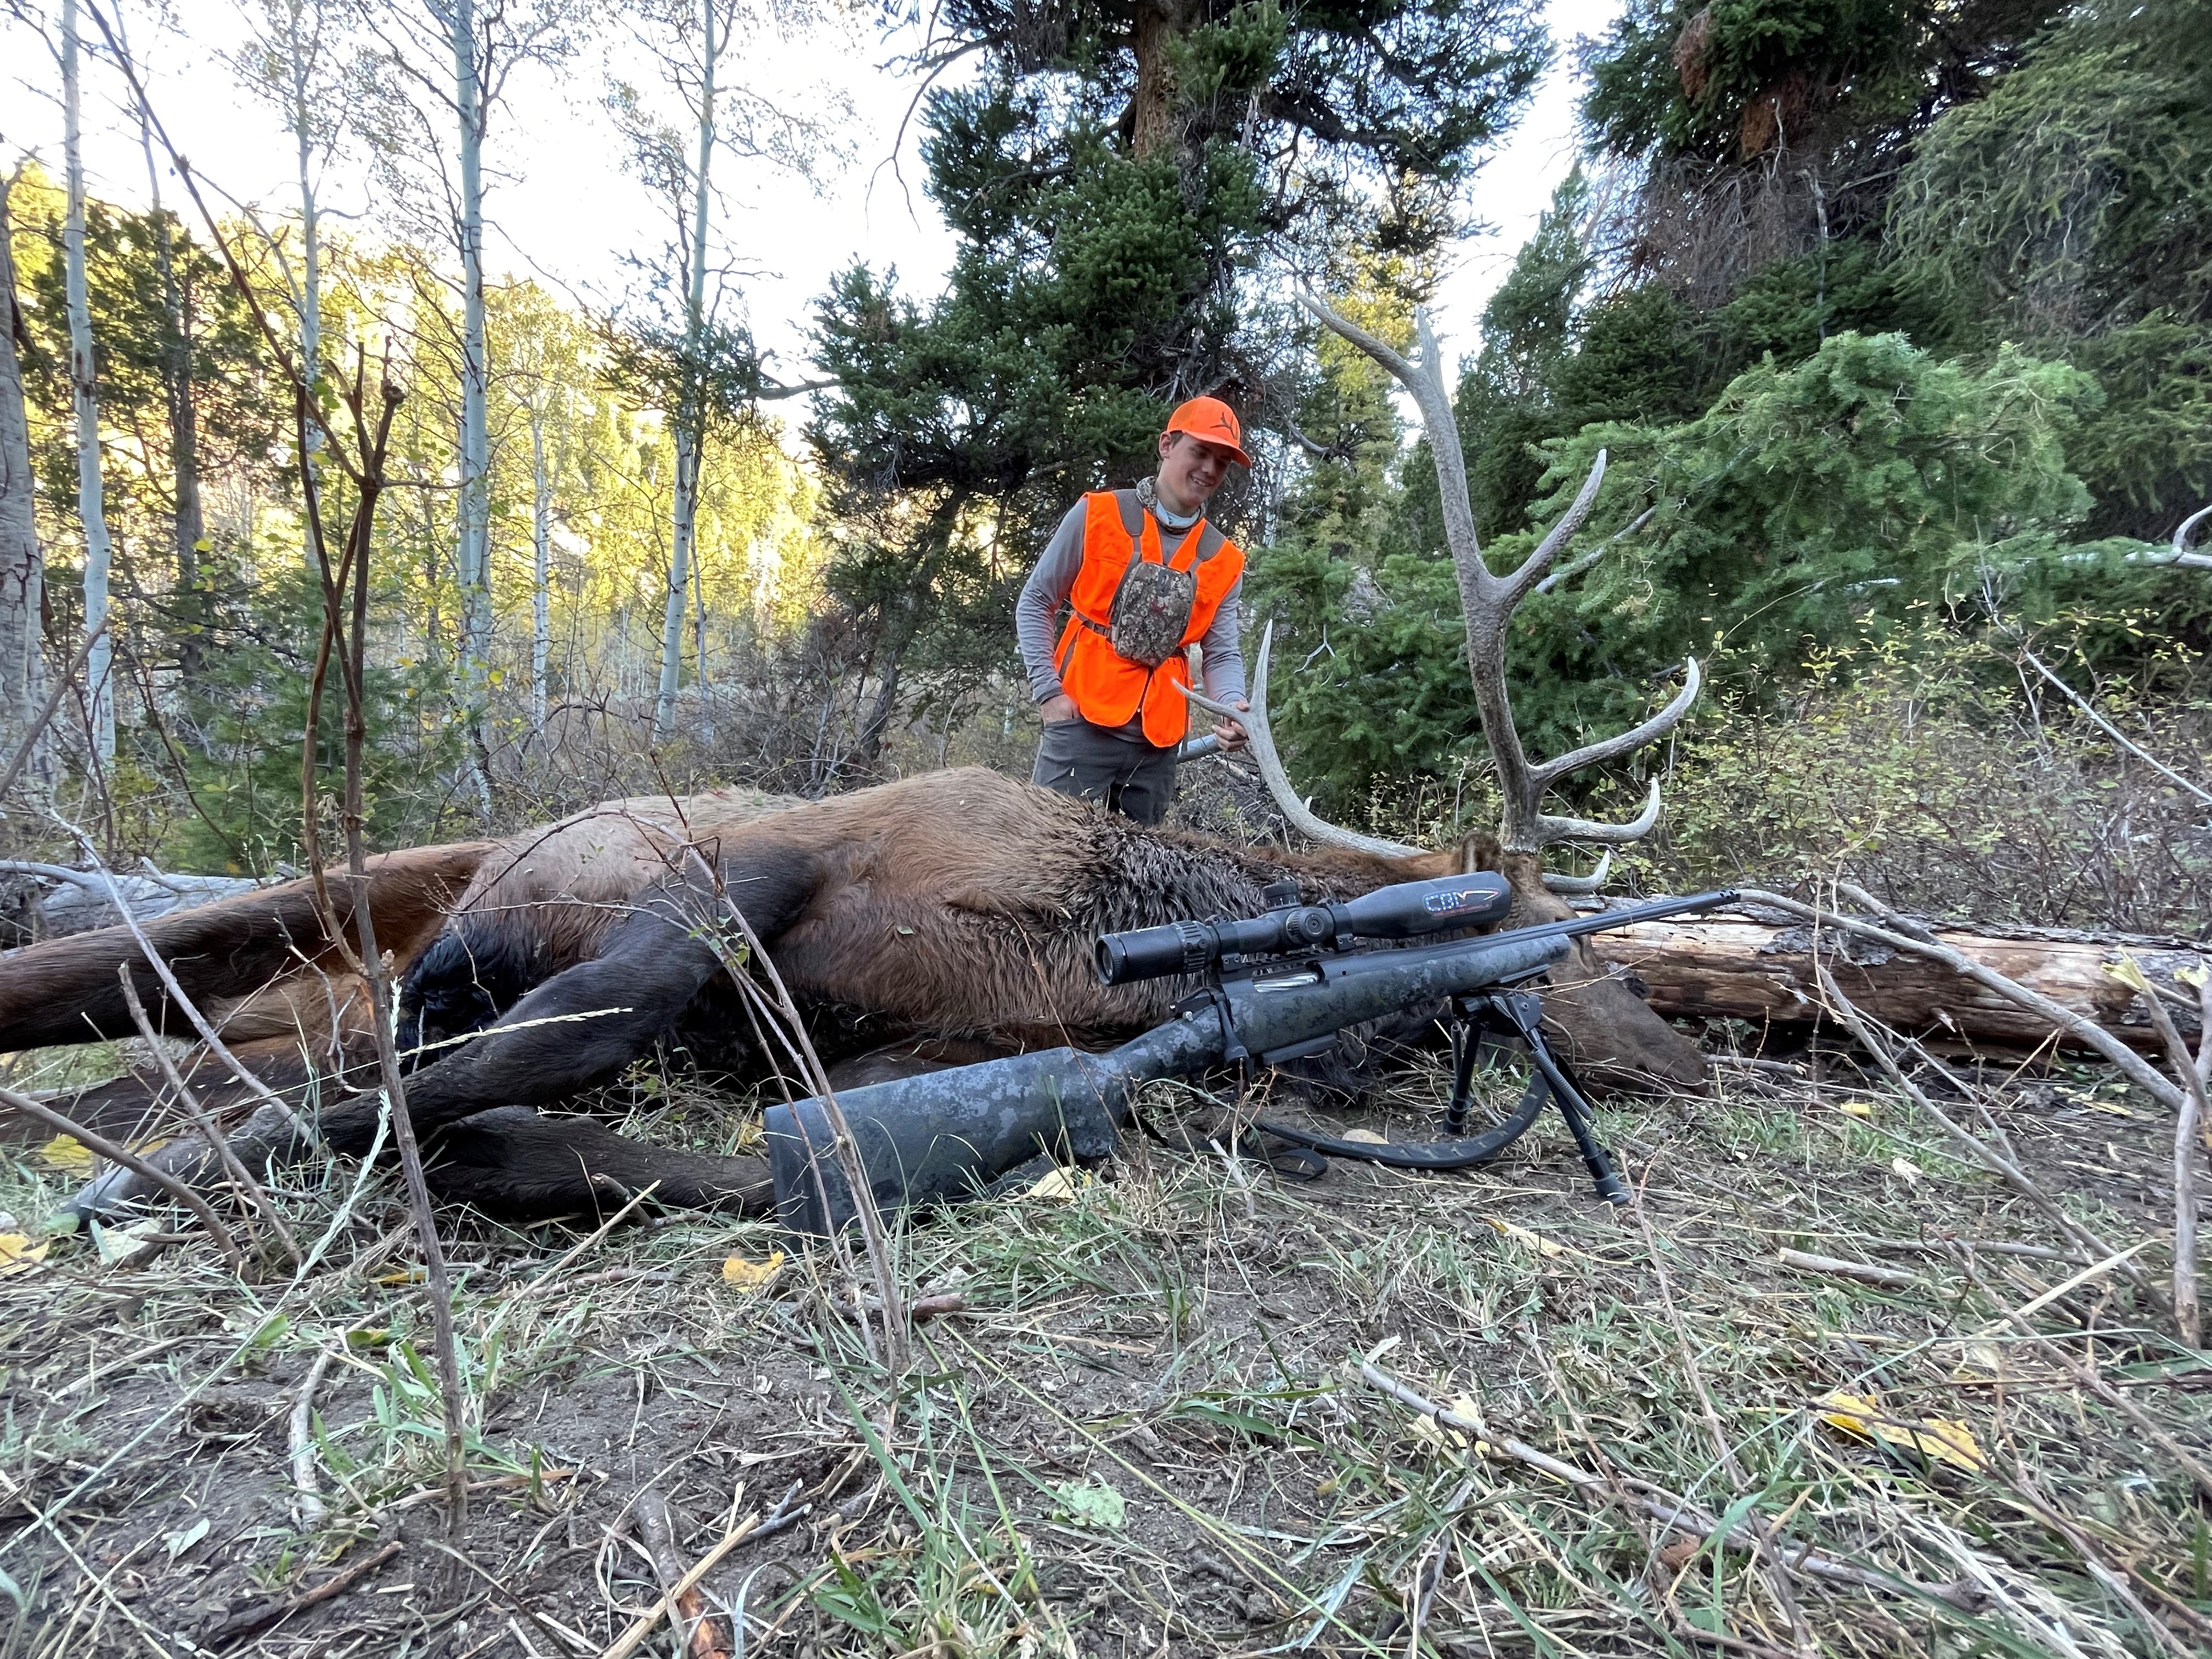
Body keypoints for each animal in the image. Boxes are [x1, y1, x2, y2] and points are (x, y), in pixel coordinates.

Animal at [0, 296, 1705, 1224]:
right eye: (1559, 958)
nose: (1692, 1053)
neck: (1093, 929)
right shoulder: (782, 855)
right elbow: (565, 1035)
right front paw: (228, 1166)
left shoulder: (935, 1053)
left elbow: (714, 1157)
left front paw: (479, 1159)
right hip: (416, 882)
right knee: (149, 983)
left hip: (338, 970)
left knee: (189, 1045)